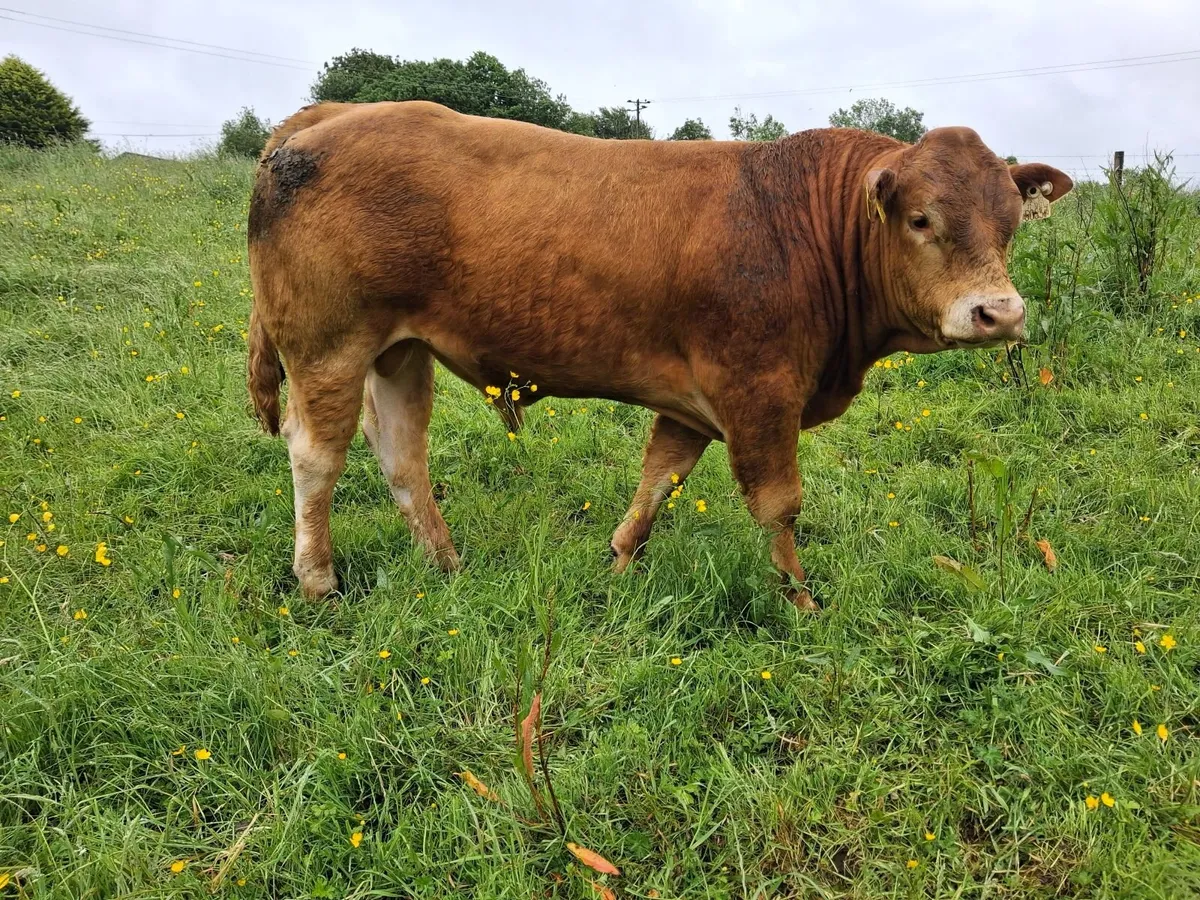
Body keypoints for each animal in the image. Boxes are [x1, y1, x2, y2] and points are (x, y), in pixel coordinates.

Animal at [246, 100, 1072, 609]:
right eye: (921, 218)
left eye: (1010, 221)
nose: (999, 313)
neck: (803, 223)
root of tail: (334, 113)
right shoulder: (757, 391)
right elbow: (778, 504)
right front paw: (800, 598)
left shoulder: (694, 402)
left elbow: (658, 482)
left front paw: (615, 565)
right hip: (328, 345)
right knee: (316, 455)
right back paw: (318, 579)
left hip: (399, 352)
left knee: (400, 454)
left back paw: (445, 563)